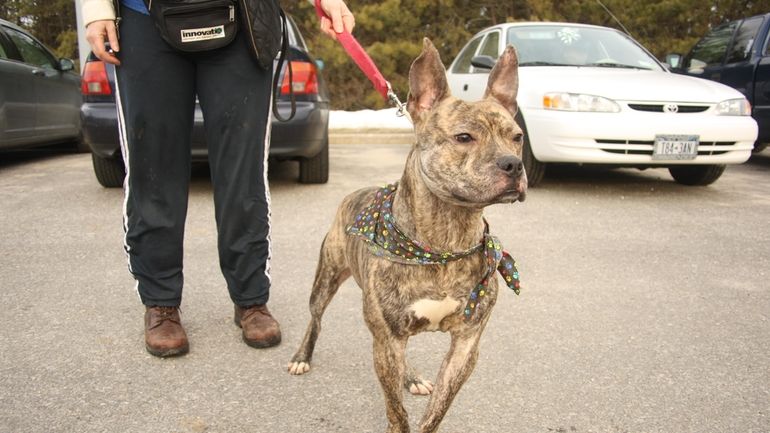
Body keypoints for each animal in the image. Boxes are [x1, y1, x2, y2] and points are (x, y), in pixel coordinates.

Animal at [284, 38, 524, 430]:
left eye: (517, 137)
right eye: (464, 137)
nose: (514, 164)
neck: (445, 241)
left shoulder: (465, 345)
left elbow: (436, 411)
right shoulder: (385, 341)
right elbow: (396, 410)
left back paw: (411, 377)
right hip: (326, 279)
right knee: (315, 319)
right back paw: (302, 355)